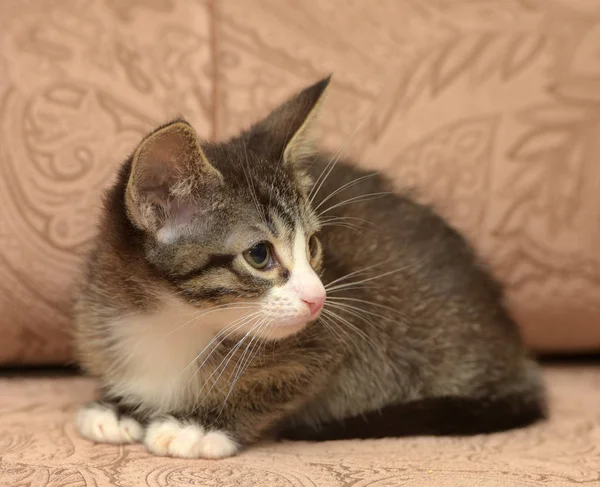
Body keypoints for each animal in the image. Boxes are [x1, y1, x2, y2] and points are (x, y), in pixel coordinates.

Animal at [72, 77, 548, 462]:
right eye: (259, 255)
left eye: (314, 245)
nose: (318, 298)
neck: (173, 320)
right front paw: (119, 408)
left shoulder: (343, 338)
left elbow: (278, 385)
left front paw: (200, 425)